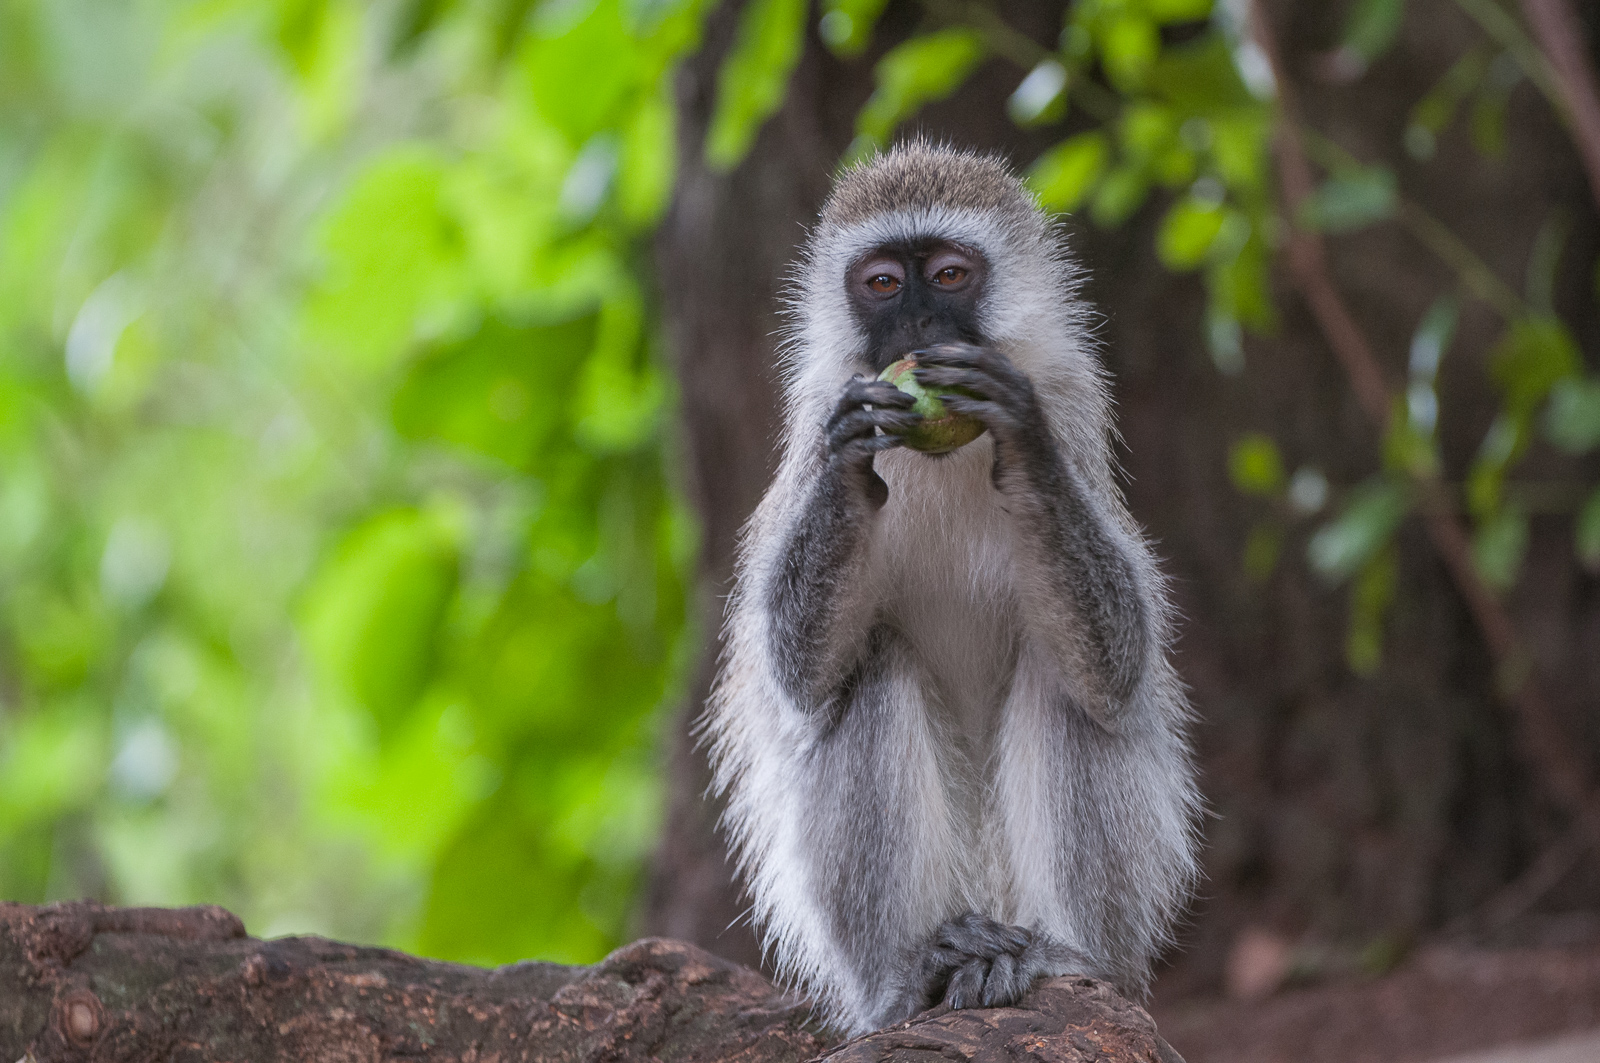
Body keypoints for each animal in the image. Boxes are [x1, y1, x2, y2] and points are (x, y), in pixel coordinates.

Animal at [702, 141, 1200, 1036]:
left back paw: (1062, 956)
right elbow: (799, 673)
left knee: (1064, 672)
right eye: (882, 284)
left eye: (948, 274)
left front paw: (1021, 439)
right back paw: (910, 976)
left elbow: (1118, 663)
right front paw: (851, 461)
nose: (920, 331)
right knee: (869, 672)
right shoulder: (810, 414)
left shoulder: (1072, 399)